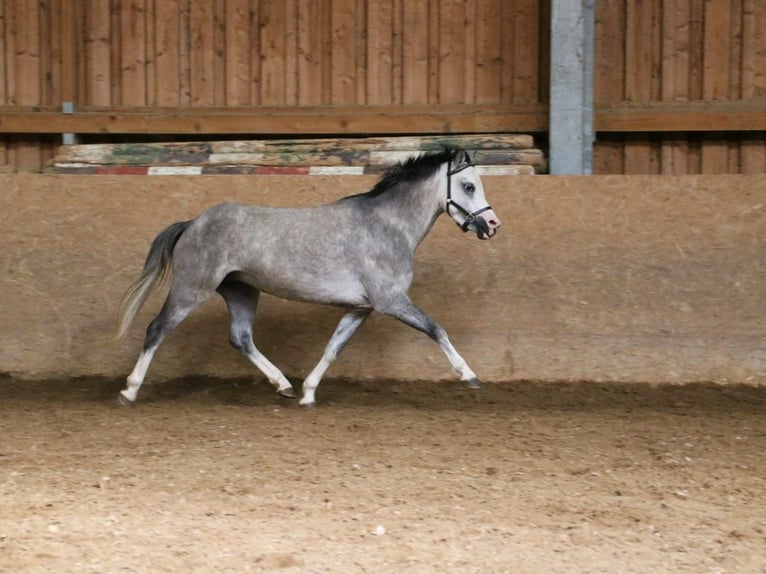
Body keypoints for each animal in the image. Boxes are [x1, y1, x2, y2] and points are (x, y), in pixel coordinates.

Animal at [117, 148, 504, 410]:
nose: (492, 225)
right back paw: (129, 390)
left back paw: (284, 385)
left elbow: (333, 348)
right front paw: (469, 376)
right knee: (157, 329)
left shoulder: (360, 309)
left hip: (242, 291)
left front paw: (308, 393)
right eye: (468, 186)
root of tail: (193, 222)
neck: (387, 226)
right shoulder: (391, 301)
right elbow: (437, 329)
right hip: (193, 288)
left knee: (241, 338)